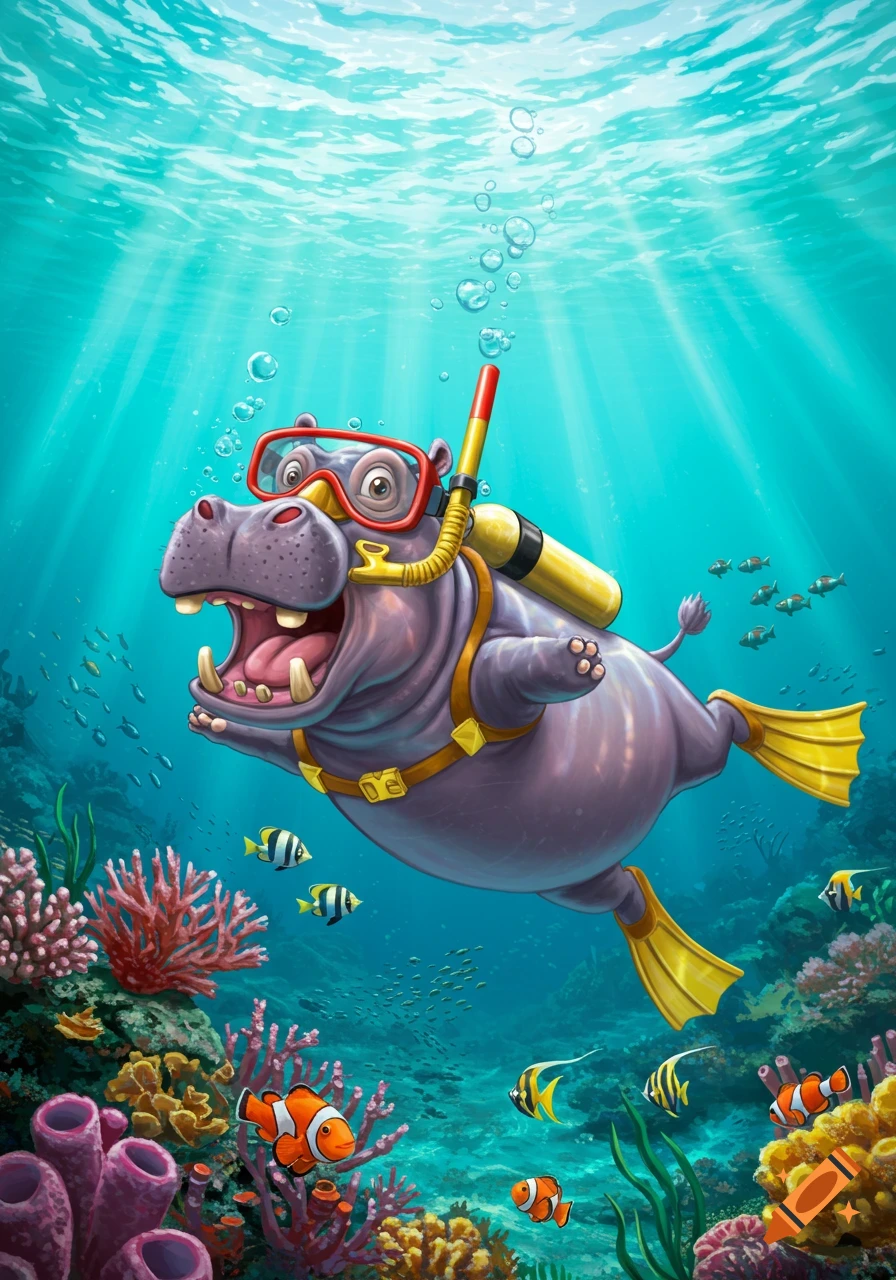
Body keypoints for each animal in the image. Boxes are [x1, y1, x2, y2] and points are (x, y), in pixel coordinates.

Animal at [160, 414, 866, 1029]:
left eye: (380, 487)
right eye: (286, 471)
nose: (240, 514)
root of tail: (653, 657)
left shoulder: (492, 681)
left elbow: (502, 671)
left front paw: (573, 658)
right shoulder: (301, 745)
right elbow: (272, 743)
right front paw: (204, 721)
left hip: (693, 743)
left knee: (726, 721)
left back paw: (815, 749)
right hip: (567, 879)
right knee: (628, 892)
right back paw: (682, 972)